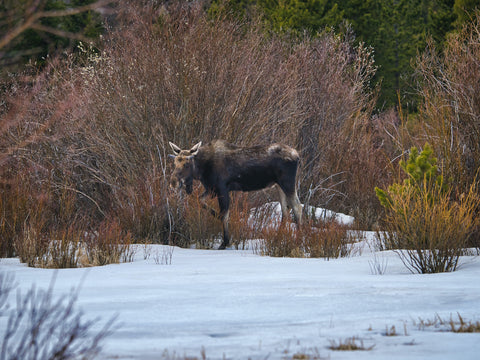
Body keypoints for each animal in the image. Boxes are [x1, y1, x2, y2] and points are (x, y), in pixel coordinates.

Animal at [169, 139, 302, 249]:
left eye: (186, 164)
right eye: (174, 163)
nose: (173, 183)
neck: (202, 170)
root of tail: (297, 155)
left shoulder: (222, 188)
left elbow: (224, 214)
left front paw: (225, 242)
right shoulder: (211, 189)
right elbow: (200, 201)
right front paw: (216, 216)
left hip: (287, 182)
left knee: (297, 206)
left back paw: (298, 242)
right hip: (279, 185)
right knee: (285, 210)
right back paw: (277, 238)